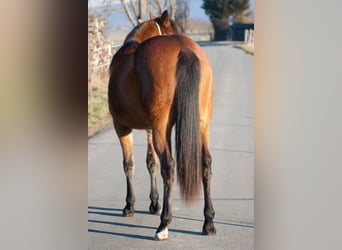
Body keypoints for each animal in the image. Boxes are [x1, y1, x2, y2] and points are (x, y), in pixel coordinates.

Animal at [108, 10, 215, 240]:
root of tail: (183, 48)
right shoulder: (149, 128)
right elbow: (151, 163)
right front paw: (154, 204)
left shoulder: (121, 127)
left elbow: (129, 164)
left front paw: (130, 206)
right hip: (202, 124)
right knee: (206, 164)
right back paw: (209, 223)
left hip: (160, 128)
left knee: (169, 166)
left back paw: (164, 225)